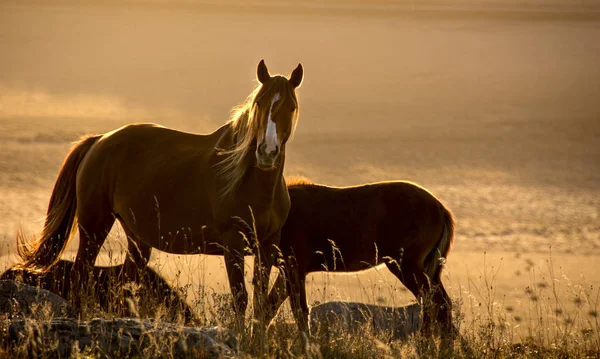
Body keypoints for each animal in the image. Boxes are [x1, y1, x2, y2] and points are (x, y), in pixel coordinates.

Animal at [15, 59, 302, 332]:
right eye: (259, 104)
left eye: (291, 107)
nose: (267, 152)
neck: (251, 183)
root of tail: (99, 140)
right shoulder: (233, 243)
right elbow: (240, 299)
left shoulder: (267, 246)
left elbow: (261, 302)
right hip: (93, 228)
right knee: (80, 277)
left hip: (136, 240)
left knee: (121, 284)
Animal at [264, 180, 452, 338]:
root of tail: (440, 208)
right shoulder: (287, 270)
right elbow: (269, 307)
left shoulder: (294, 266)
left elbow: (300, 311)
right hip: (428, 269)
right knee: (443, 303)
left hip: (406, 266)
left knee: (432, 301)